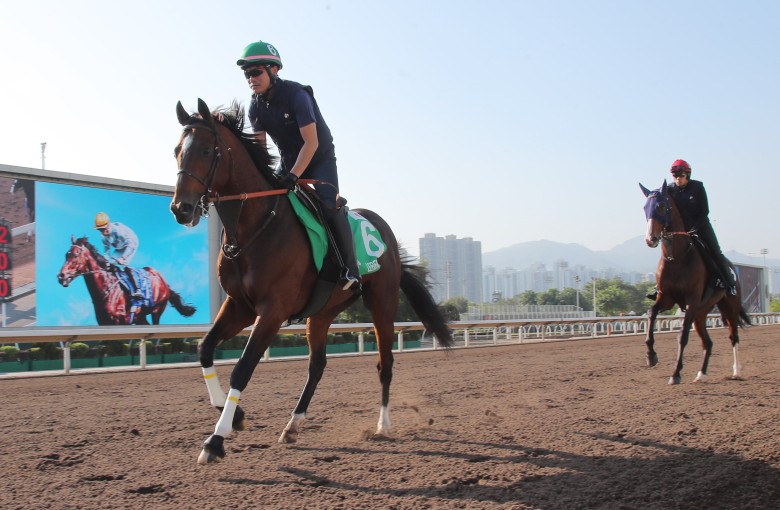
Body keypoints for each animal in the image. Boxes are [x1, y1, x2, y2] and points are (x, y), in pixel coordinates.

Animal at [56, 236, 197, 324]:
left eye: (75, 255)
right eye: (66, 254)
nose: (61, 276)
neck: (107, 289)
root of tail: (162, 279)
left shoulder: (122, 321)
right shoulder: (104, 323)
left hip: (157, 310)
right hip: (140, 317)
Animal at [171, 97, 450, 464]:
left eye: (205, 150)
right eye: (177, 150)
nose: (181, 208)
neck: (256, 227)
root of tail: (385, 232)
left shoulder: (272, 311)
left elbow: (242, 368)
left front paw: (215, 440)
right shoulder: (239, 305)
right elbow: (204, 348)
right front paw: (236, 416)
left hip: (383, 303)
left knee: (384, 363)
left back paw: (383, 424)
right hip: (321, 312)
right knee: (317, 364)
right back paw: (293, 425)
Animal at [640, 181, 748, 384]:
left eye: (661, 205)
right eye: (645, 207)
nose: (650, 239)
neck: (676, 258)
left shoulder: (691, 300)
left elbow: (682, 336)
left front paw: (675, 374)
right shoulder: (667, 298)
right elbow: (651, 313)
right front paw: (651, 356)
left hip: (729, 307)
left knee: (734, 336)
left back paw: (737, 371)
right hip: (701, 313)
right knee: (708, 343)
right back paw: (701, 374)